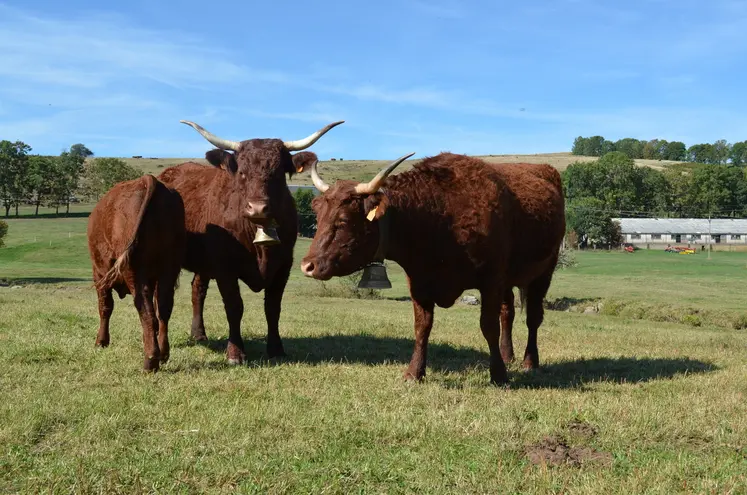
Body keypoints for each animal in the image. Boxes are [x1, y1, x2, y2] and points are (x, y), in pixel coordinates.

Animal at [87, 174, 186, 372]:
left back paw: (150, 361)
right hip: (168, 269)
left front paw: (101, 341)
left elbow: (105, 307)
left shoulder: (99, 274)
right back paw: (163, 353)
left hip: (135, 272)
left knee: (145, 309)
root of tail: (147, 179)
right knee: (163, 309)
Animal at [158, 120, 343, 365]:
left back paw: (198, 334)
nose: (257, 208)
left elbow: (272, 307)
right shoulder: (224, 267)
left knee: (198, 289)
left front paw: (276, 348)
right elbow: (234, 307)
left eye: (278, 173)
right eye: (242, 172)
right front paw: (235, 353)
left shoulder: (283, 265)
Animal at [300, 152, 566, 384]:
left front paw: (498, 375)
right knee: (507, 313)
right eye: (318, 216)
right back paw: (507, 354)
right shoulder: (419, 282)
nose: (307, 265)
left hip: (544, 272)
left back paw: (529, 362)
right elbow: (422, 326)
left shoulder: (491, 280)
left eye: (343, 220)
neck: (439, 213)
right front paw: (414, 372)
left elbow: (487, 325)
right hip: (508, 281)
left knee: (533, 318)